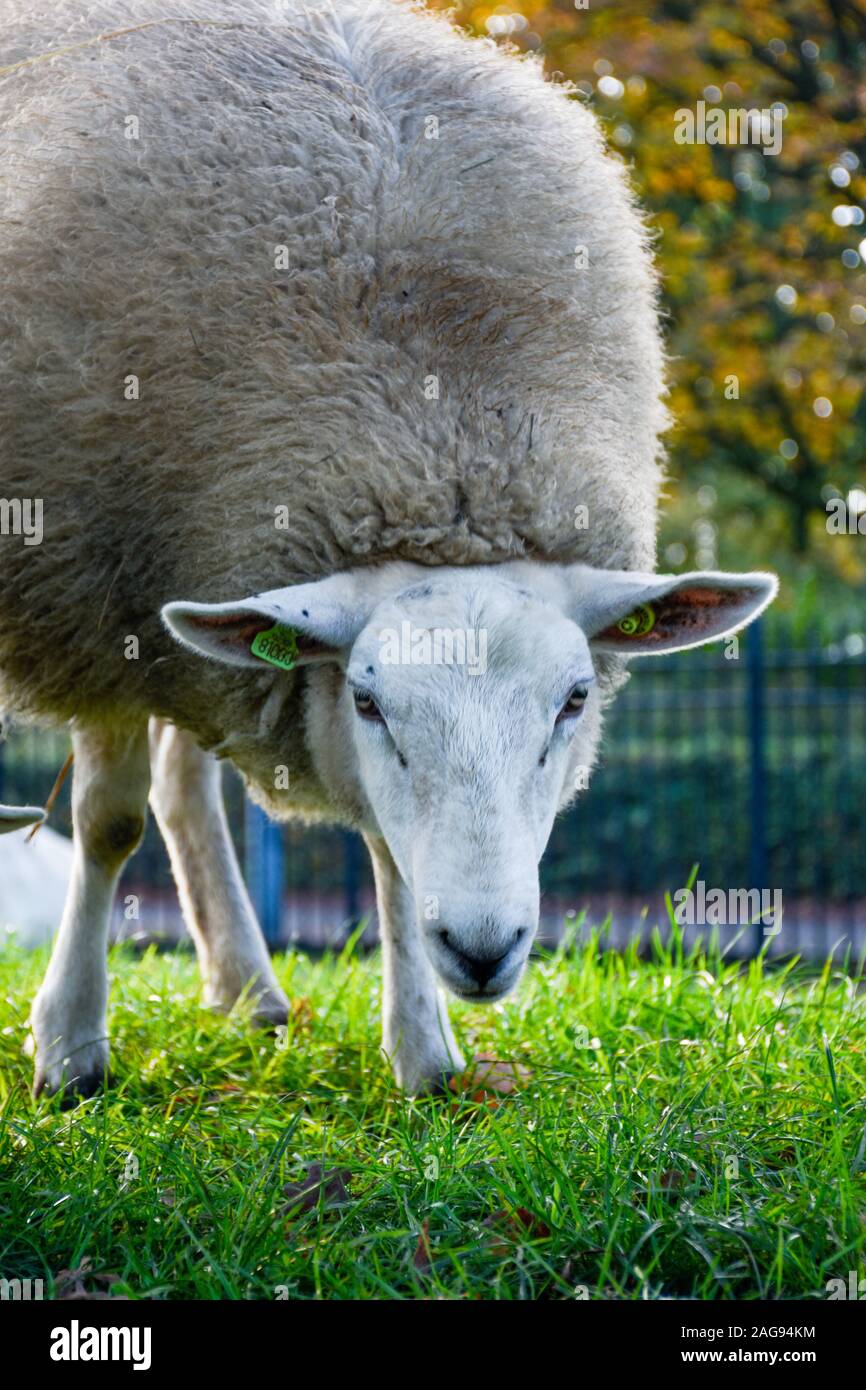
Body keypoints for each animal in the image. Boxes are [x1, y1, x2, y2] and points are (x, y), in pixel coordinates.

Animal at [0, 0, 777, 1098]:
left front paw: (424, 1050)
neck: (436, 445)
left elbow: (392, 857)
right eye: (368, 701)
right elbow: (108, 824)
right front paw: (68, 1045)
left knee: (185, 785)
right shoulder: (88, 598)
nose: (484, 950)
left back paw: (247, 988)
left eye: (575, 700)